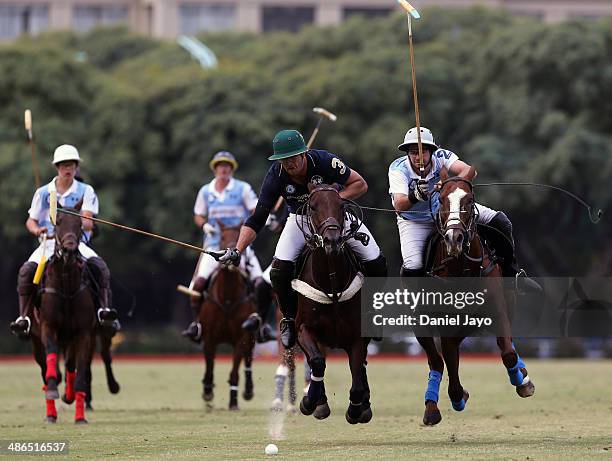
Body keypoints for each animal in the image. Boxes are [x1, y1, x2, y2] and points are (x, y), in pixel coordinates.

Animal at [36, 199, 98, 422]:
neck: (67, 288)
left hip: (71, 338)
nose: (70, 251)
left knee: (71, 367)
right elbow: (51, 359)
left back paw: (68, 396)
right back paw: (50, 412)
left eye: (80, 223)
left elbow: (79, 373)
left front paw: (80, 416)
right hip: (36, 340)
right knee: (45, 369)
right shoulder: (47, 327)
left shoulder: (84, 333)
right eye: (59, 221)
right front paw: (53, 390)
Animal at [200, 222, 255, 410]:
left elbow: (234, 371)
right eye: (222, 236)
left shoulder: (241, 338)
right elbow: (209, 365)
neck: (227, 298)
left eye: (239, 233)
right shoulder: (208, 337)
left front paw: (233, 401)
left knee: (248, 361)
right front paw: (207, 391)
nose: (232, 255)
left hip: (251, 337)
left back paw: (248, 390)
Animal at [292, 183, 372, 424]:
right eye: (313, 207)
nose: (332, 241)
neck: (332, 282)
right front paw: (310, 402)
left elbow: (357, 375)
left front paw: (356, 409)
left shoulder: (357, 336)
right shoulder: (303, 328)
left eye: (341, 205)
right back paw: (319, 402)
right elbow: (317, 362)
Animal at [416, 167, 536, 426]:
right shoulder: (446, 322)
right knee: (439, 358)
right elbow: (448, 357)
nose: (454, 239)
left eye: (469, 201)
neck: (461, 267)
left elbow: (508, 352)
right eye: (441, 200)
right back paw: (434, 407)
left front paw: (522, 383)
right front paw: (457, 396)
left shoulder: (498, 311)